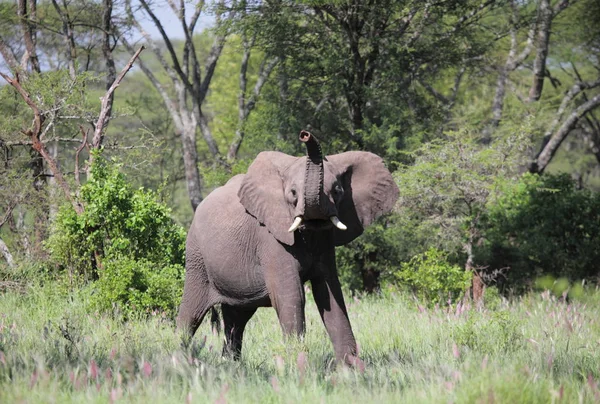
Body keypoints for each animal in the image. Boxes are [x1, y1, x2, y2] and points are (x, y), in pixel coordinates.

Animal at [177, 131, 398, 368]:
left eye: (338, 191)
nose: (305, 134)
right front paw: (301, 369)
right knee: (191, 314)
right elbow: (292, 297)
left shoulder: (325, 241)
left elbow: (330, 295)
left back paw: (231, 367)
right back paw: (180, 360)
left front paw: (353, 369)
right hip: (197, 258)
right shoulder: (270, 238)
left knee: (236, 320)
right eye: (292, 193)